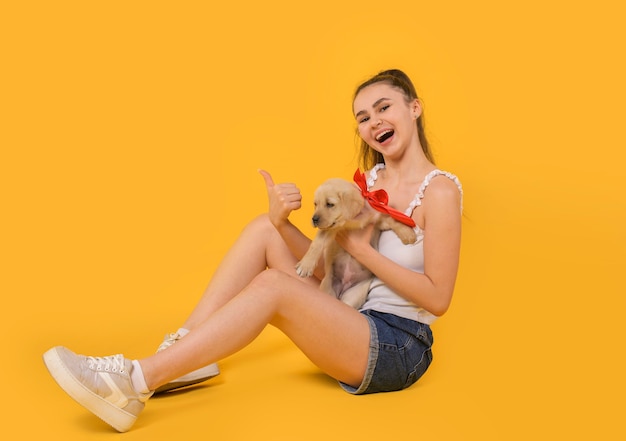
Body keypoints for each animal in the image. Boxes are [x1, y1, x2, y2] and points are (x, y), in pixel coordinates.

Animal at [296, 177, 416, 308]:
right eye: (316, 204)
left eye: (330, 204)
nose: (314, 219)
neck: (354, 219)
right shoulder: (331, 229)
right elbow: (316, 244)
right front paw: (305, 265)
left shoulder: (377, 220)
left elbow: (393, 220)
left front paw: (408, 234)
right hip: (328, 290)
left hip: (354, 295)